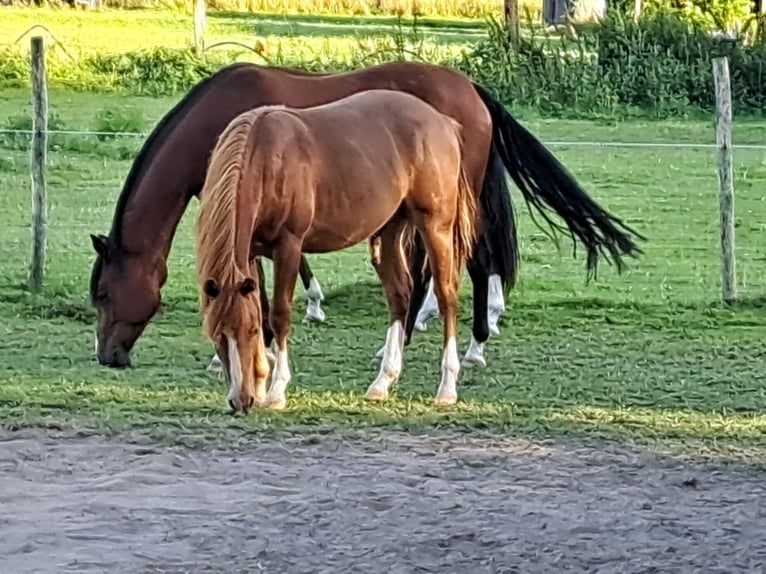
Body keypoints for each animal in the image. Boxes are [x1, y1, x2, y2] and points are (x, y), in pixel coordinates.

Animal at [90, 61, 643, 370]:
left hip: (447, 208)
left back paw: (472, 346)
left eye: (103, 294)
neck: (222, 121)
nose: (108, 357)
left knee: (472, 260)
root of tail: (472, 91)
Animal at [196, 90, 478, 412]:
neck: (266, 159)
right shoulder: (251, 253)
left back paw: (447, 387)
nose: (241, 400)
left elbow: (279, 315)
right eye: (217, 333)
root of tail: (443, 122)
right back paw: (382, 382)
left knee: (446, 297)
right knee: (399, 295)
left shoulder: (288, 246)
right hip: (389, 230)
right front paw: (259, 382)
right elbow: (261, 307)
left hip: (435, 226)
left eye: (251, 331)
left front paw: (276, 390)